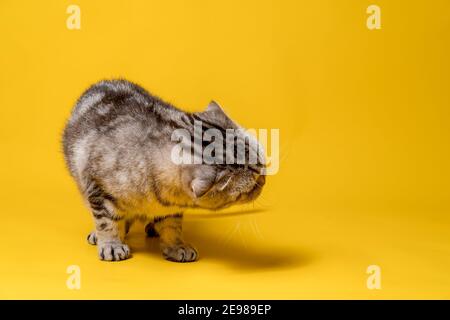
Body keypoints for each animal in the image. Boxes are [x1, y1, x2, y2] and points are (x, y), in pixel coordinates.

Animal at [62, 79, 266, 262]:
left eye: (261, 164)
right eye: (254, 183)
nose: (264, 178)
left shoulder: (172, 204)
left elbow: (172, 226)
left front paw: (177, 246)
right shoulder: (97, 187)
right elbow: (106, 222)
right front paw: (112, 244)